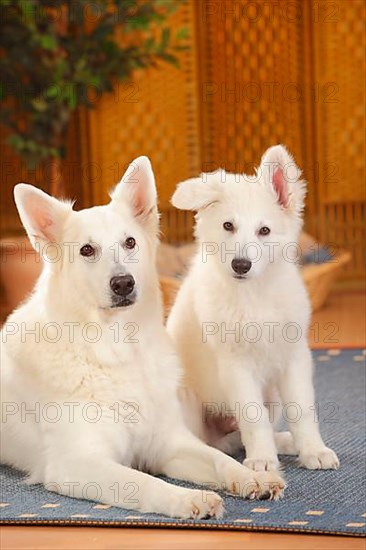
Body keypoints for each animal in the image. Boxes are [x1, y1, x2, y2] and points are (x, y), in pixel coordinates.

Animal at [0, 156, 284, 520]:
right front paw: (189, 499)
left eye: (130, 242)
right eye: (87, 250)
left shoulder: (169, 443)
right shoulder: (77, 463)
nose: (124, 283)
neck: (117, 350)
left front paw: (251, 477)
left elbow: (219, 460)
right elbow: (144, 482)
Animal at [169, 146, 340, 474]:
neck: (254, 294)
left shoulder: (294, 356)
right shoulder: (235, 365)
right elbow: (252, 416)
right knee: (211, 442)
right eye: (228, 226)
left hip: (271, 395)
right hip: (188, 400)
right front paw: (262, 459)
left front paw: (313, 450)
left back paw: (285, 442)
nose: (241, 265)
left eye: (264, 230)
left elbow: (302, 410)